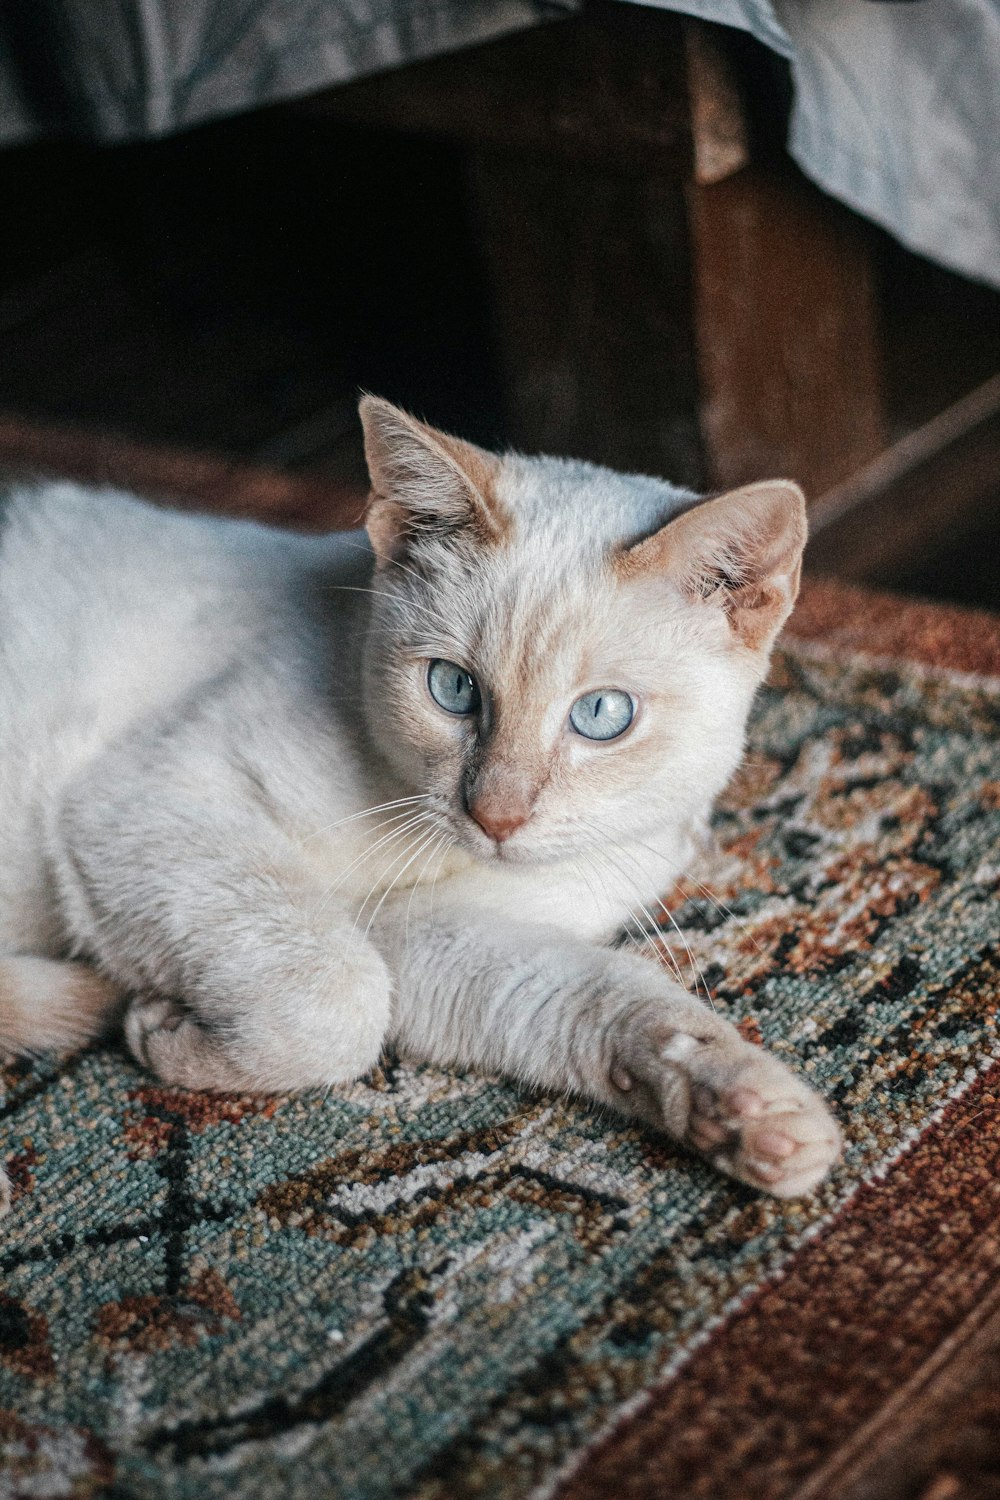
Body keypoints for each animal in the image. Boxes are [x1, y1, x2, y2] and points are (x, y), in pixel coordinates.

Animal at [0, 396, 839, 1206]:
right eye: (453, 689)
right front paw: (172, 1037)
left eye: (603, 716)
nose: (495, 816)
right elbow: (339, 997)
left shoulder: (423, 934)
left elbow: (612, 1000)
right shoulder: (150, 803)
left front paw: (752, 1115)